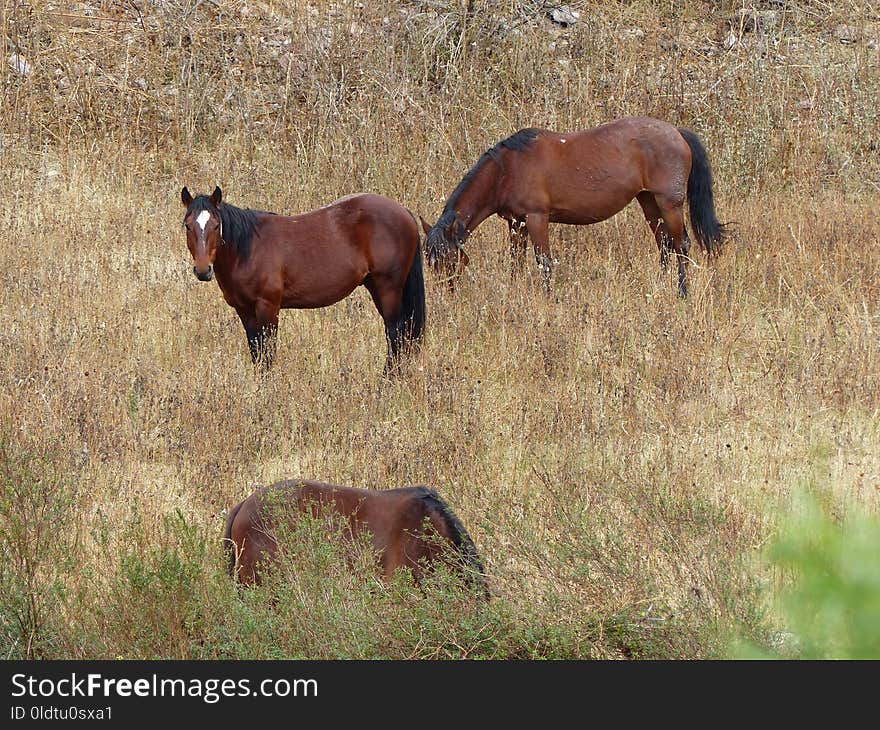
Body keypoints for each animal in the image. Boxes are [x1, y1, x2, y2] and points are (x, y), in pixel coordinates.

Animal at [180, 185, 426, 372]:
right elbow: (256, 352)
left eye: (215, 225)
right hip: (376, 286)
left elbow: (268, 352)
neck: (247, 249)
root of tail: (404, 212)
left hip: (388, 287)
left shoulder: (268, 307)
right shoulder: (245, 310)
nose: (203, 270)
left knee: (395, 333)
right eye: (188, 226)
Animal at [422, 114, 724, 296]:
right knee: (664, 244)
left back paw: (682, 292)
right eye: (429, 259)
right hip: (648, 202)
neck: (507, 169)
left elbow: (544, 263)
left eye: (448, 258)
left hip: (669, 203)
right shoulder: (516, 223)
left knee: (681, 245)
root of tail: (677, 132)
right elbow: (516, 263)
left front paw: (548, 299)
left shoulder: (536, 218)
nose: (446, 292)